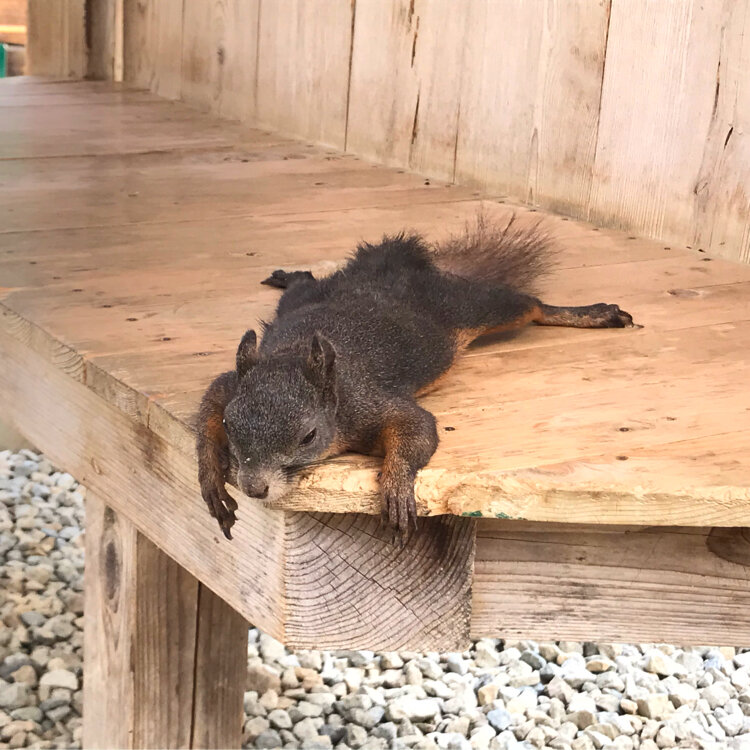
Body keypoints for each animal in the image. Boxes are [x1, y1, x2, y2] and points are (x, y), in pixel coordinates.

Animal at [195, 214, 636, 544]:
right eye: (230, 424)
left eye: (308, 436)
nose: (254, 487)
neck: (294, 355)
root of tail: (386, 269)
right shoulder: (230, 384)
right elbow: (206, 412)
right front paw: (210, 478)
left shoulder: (366, 403)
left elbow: (417, 427)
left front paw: (396, 487)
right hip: (298, 302)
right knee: (304, 285)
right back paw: (292, 274)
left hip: (466, 308)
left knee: (529, 306)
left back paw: (593, 313)